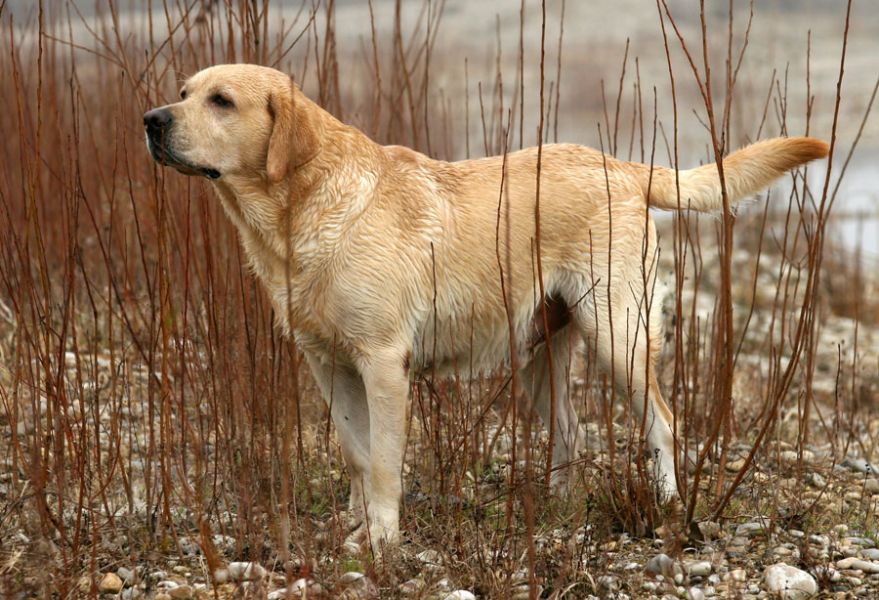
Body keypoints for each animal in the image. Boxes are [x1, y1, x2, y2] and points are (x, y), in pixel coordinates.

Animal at [146, 63, 832, 548]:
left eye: (221, 100)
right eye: (184, 91)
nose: (152, 120)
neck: (303, 210)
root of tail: (623, 165)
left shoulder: (383, 363)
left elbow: (386, 463)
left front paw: (384, 539)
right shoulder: (328, 365)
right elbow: (357, 455)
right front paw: (358, 528)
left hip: (619, 337)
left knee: (663, 420)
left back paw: (664, 502)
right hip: (540, 356)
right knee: (570, 430)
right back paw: (557, 506)